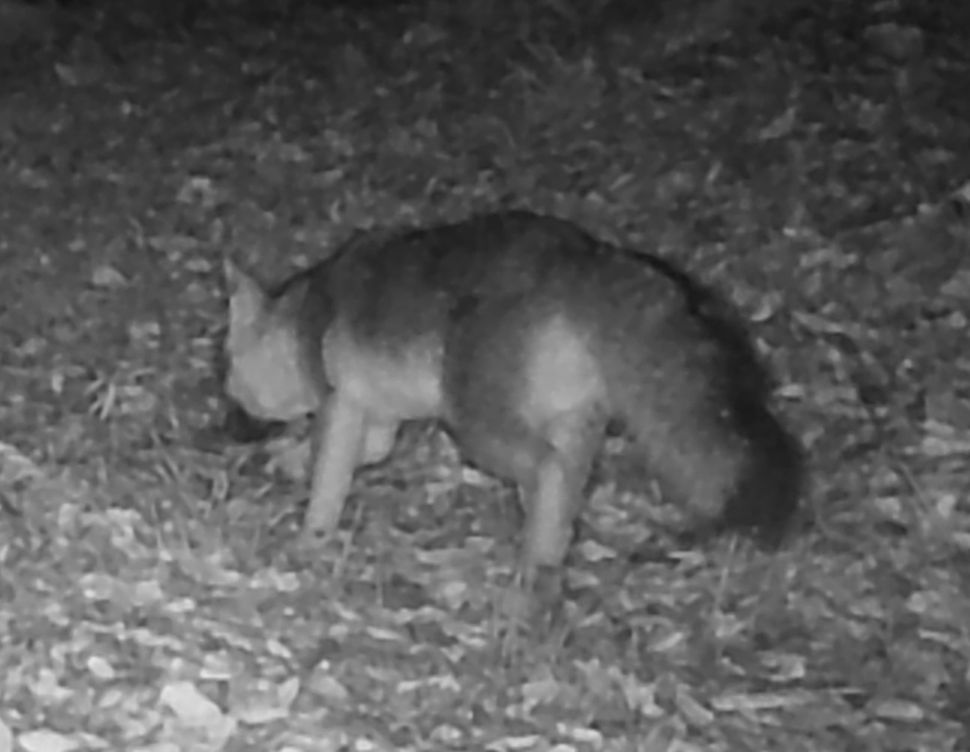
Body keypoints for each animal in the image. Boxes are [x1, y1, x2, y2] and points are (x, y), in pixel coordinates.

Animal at [222, 211, 803, 587]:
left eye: (226, 378)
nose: (225, 427)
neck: (304, 312)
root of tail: (586, 257)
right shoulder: (379, 415)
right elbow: (363, 453)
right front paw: (289, 461)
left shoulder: (341, 402)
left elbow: (330, 475)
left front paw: (309, 535)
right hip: (569, 427)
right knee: (563, 492)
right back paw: (543, 568)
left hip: (475, 427)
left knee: (545, 471)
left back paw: (529, 566)